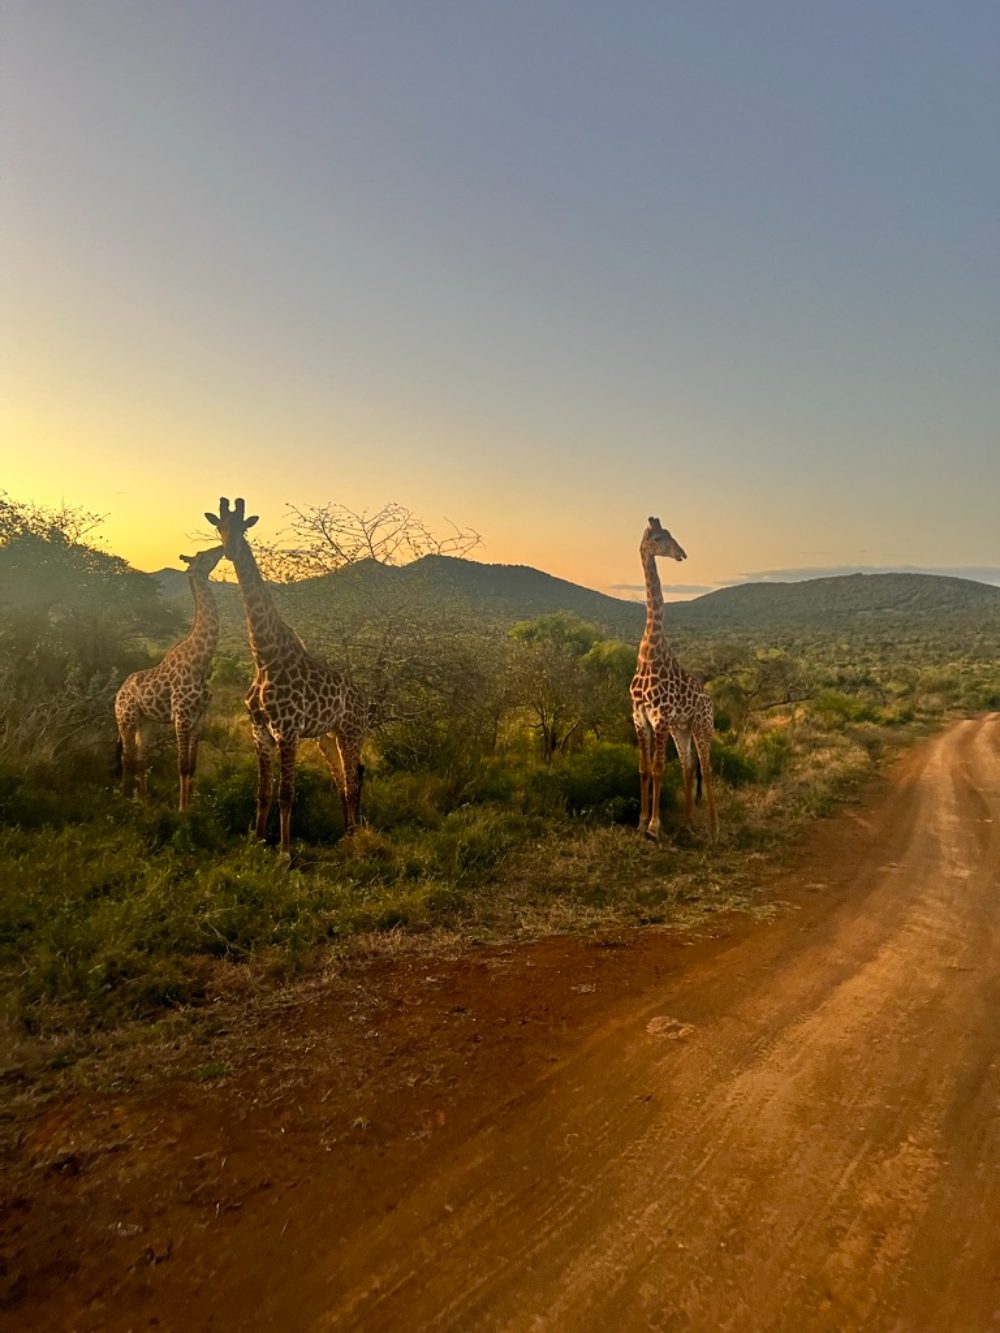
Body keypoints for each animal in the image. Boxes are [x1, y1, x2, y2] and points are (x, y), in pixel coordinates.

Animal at [115, 545, 224, 810]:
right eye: (203, 555)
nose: (222, 548)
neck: (200, 662)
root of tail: (118, 692)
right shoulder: (181, 718)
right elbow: (181, 766)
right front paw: (182, 810)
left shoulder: (199, 719)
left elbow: (192, 767)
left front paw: (192, 807)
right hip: (126, 719)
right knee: (126, 756)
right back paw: (123, 800)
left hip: (147, 722)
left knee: (141, 757)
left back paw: (143, 802)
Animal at [204, 497, 369, 852]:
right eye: (219, 526)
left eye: (243, 527)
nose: (230, 551)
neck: (264, 656)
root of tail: (365, 698)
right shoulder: (260, 731)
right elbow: (263, 793)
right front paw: (257, 842)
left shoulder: (288, 731)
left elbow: (286, 795)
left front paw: (285, 851)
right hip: (326, 736)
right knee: (342, 778)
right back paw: (346, 831)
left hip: (351, 732)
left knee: (353, 778)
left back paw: (353, 838)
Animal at [629, 516, 717, 841]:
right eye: (658, 538)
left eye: (670, 534)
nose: (682, 553)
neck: (649, 653)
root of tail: (710, 700)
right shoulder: (639, 717)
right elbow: (644, 768)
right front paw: (641, 822)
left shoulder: (660, 718)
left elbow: (657, 769)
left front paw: (655, 826)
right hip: (683, 728)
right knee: (689, 766)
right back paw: (687, 823)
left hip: (702, 725)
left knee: (707, 767)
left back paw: (715, 829)